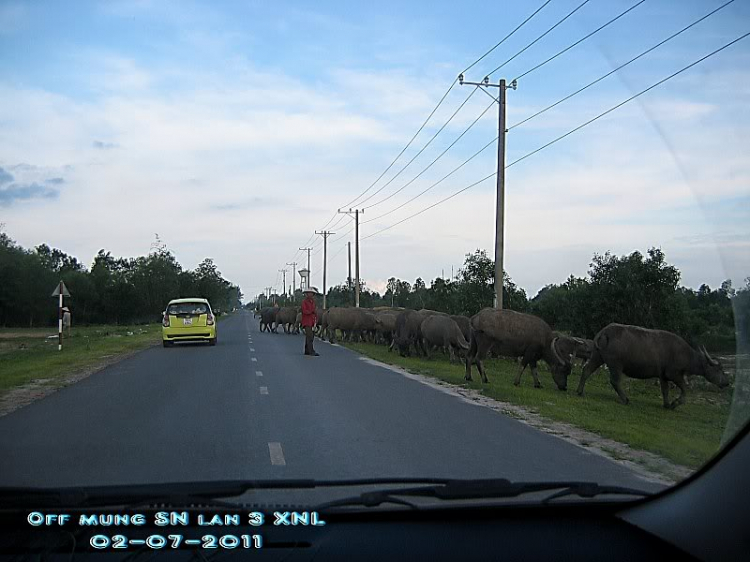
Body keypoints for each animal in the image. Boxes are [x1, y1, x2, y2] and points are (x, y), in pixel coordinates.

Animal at [580, 324, 732, 406]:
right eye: (719, 369)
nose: (726, 382)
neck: (686, 355)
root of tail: (604, 333)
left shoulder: (662, 375)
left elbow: (665, 390)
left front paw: (667, 404)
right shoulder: (674, 374)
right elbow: (684, 389)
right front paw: (675, 403)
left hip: (597, 356)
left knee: (586, 370)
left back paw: (580, 391)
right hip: (616, 364)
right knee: (615, 381)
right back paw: (625, 399)